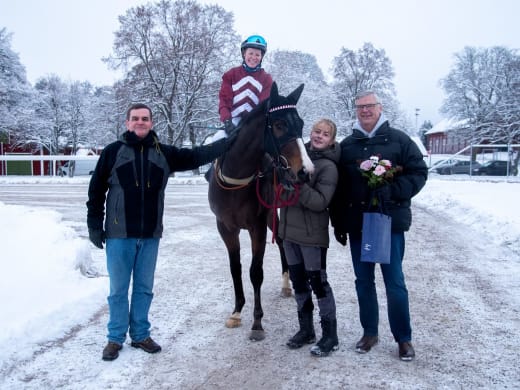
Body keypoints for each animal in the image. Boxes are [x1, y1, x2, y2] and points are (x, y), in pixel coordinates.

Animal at [207, 83, 312, 342]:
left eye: (300, 123)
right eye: (279, 124)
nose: (304, 171)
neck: (237, 179)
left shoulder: (257, 226)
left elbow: (256, 272)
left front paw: (257, 322)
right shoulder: (226, 228)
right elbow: (235, 268)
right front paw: (236, 312)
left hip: (273, 214)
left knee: (282, 242)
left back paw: (286, 284)